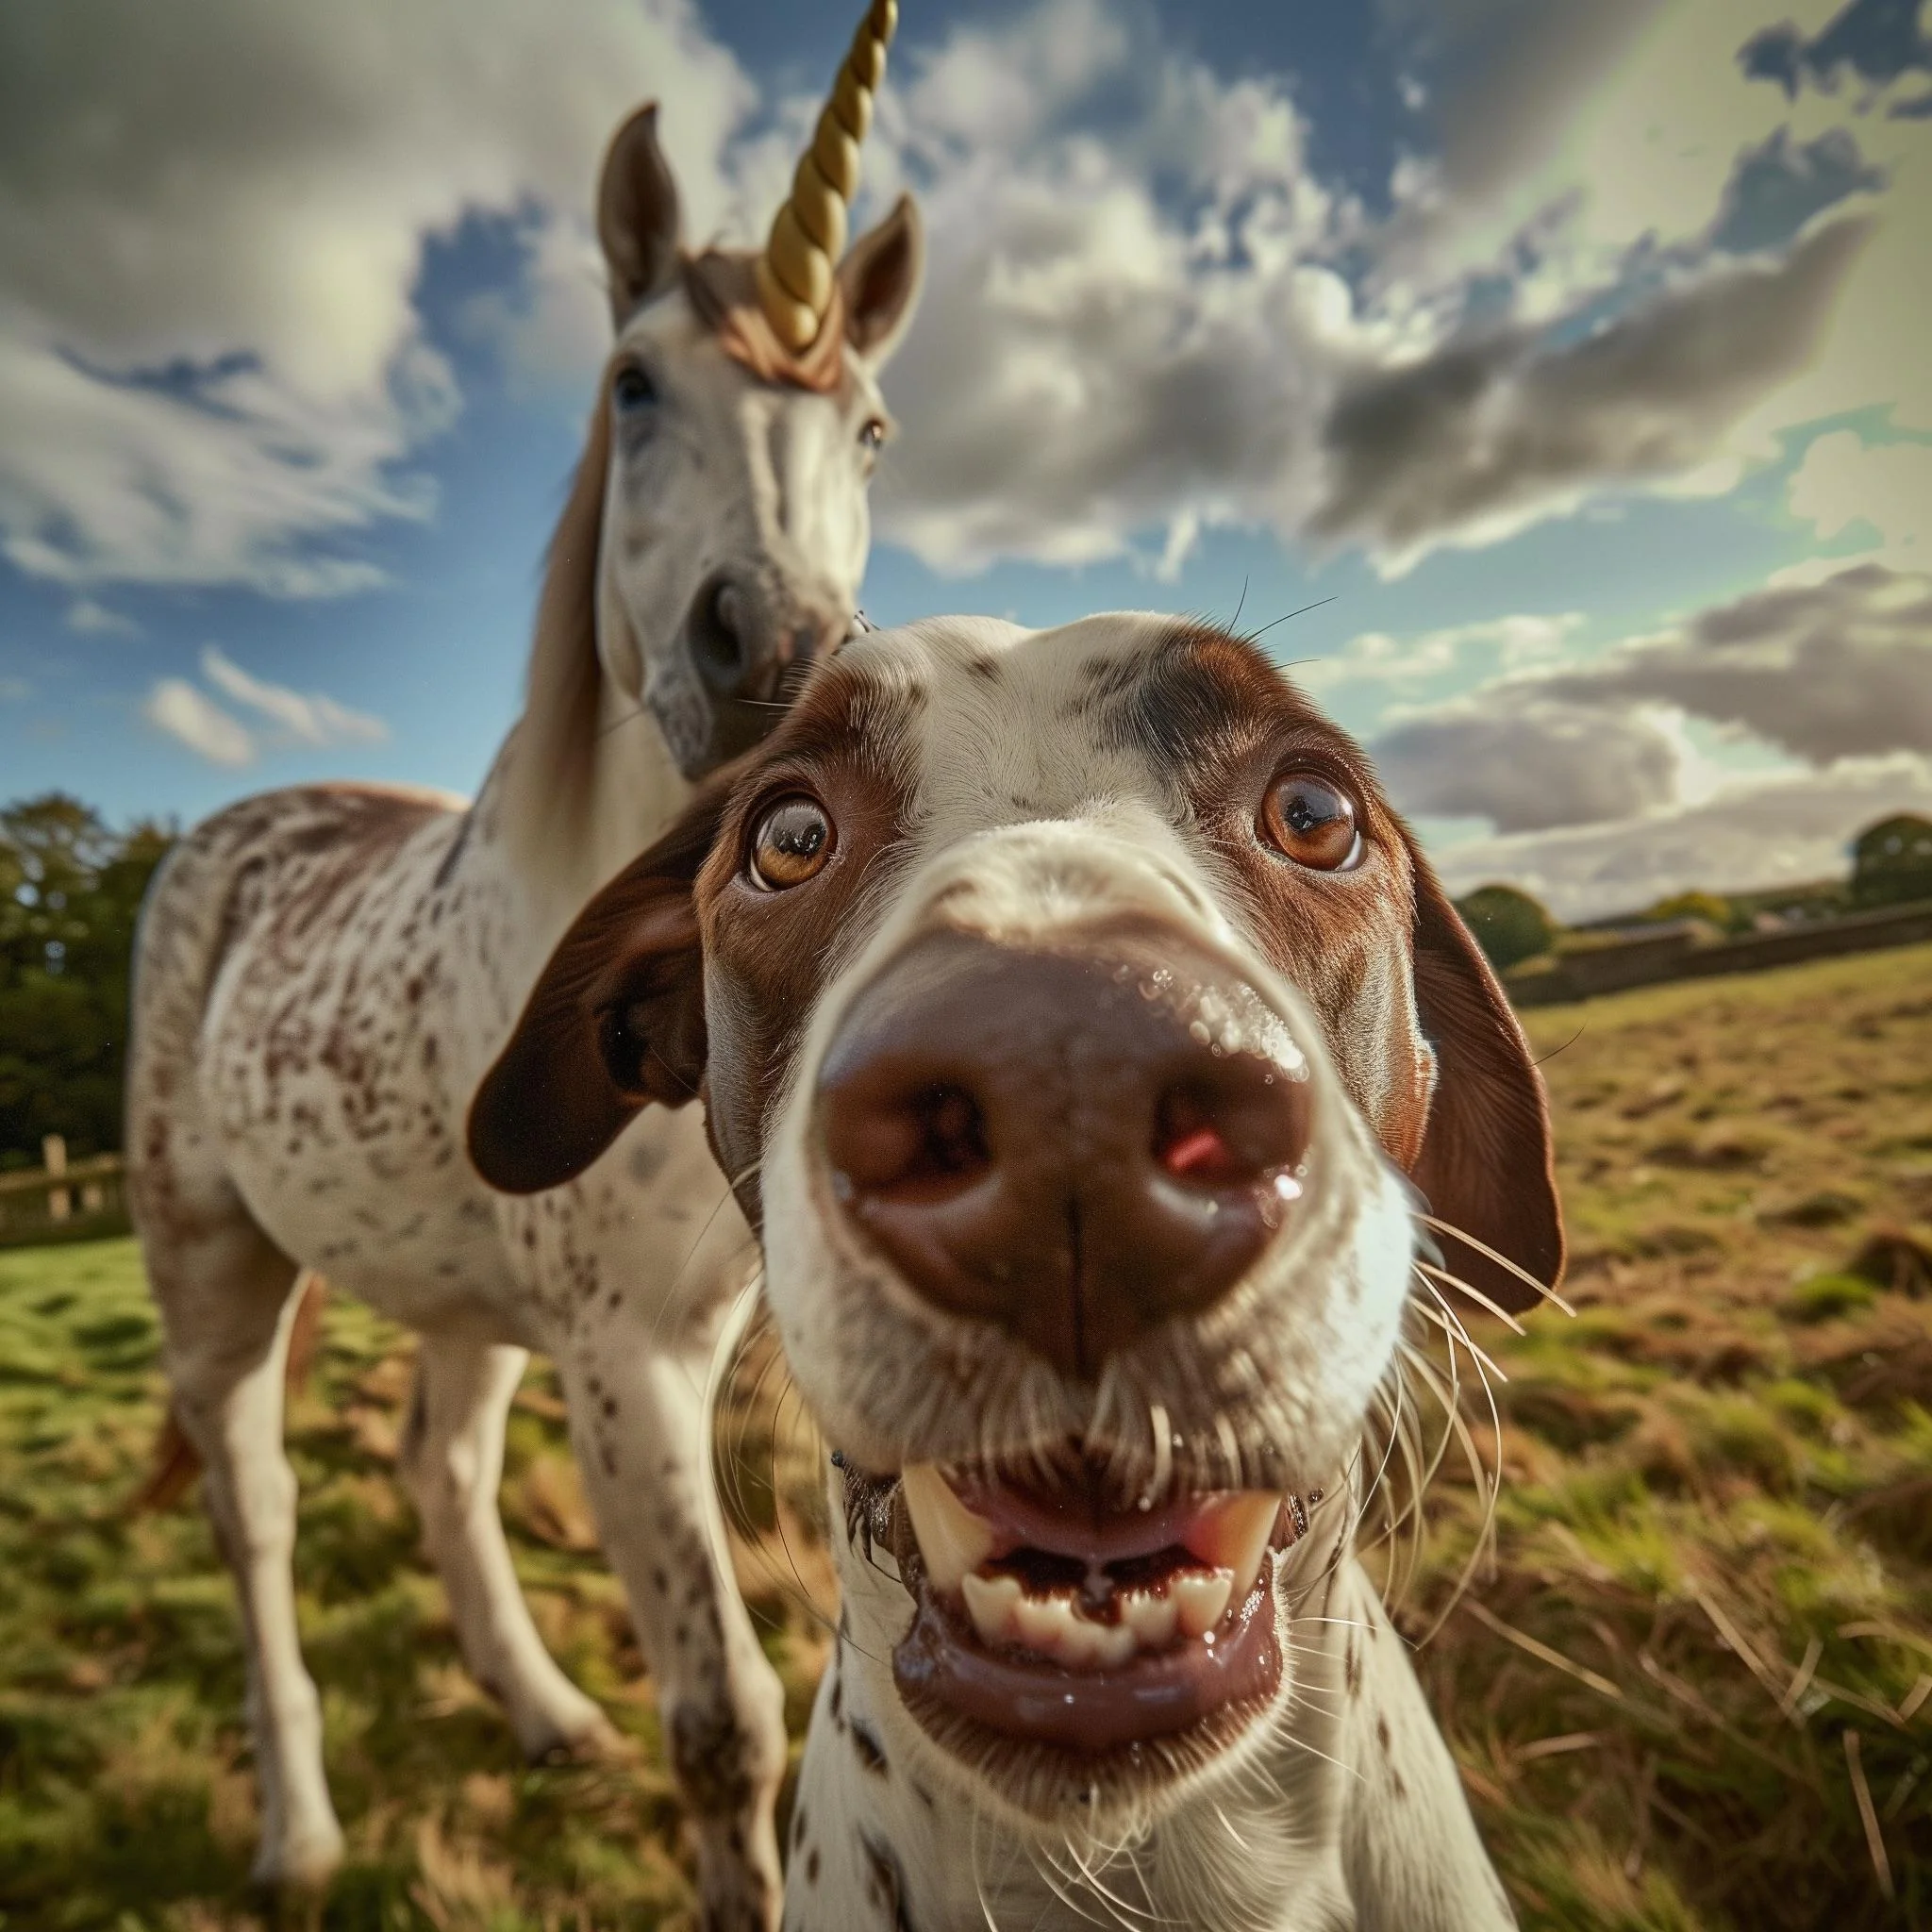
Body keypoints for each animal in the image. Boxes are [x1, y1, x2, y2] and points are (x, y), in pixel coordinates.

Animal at [125, 11, 923, 1916]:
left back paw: (542, 1707)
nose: (776, 654)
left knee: (440, 1465)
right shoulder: (628, 1359)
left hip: (460, 1294)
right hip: (214, 1270)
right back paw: (298, 1827)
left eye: (868, 427)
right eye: (632, 384)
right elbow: (726, 1727)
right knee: (256, 1514)